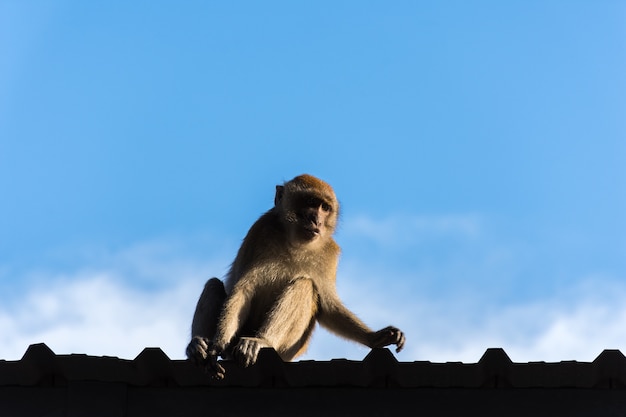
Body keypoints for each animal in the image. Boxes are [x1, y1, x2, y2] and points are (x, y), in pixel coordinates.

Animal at [185, 174, 402, 378]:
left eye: (325, 207)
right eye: (311, 203)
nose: (317, 220)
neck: (296, 242)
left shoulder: (329, 254)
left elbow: (328, 306)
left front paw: (375, 337)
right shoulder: (259, 231)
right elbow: (243, 289)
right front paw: (217, 344)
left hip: (288, 350)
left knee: (304, 285)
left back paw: (262, 341)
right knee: (213, 284)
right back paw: (198, 345)